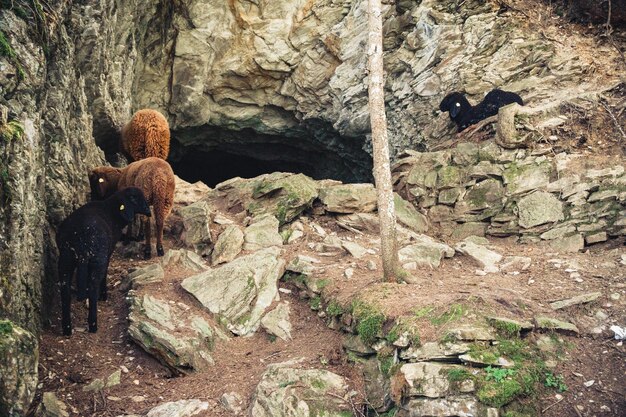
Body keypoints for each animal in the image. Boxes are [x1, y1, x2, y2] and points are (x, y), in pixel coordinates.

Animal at [58, 185, 152, 334]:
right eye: (134, 198)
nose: (148, 212)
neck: (112, 211)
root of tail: (81, 237)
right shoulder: (107, 253)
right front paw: (103, 295)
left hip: (66, 259)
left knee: (65, 289)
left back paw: (67, 328)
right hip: (98, 259)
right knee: (93, 287)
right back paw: (93, 324)